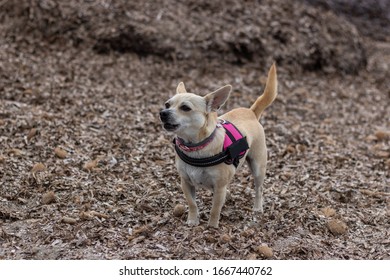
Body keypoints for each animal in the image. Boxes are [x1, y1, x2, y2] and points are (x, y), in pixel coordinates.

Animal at [159, 64, 278, 229]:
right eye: (167, 104)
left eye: (185, 108)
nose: (163, 113)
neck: (195, 147)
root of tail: (251, 112)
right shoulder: (186, 182)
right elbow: (192, 203)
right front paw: (193, 220)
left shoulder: (219, 186)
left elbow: (215, 208)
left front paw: (212, 226)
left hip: (258, 167)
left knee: (259, 188)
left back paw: (257, 207)